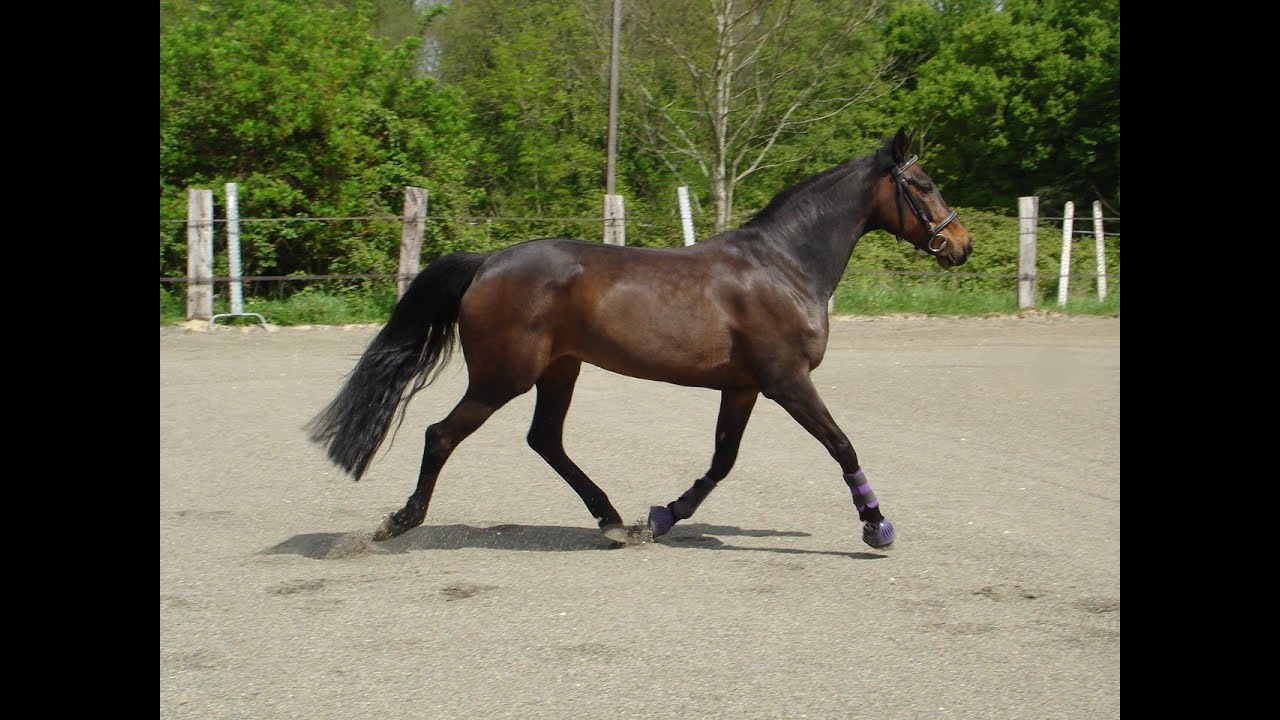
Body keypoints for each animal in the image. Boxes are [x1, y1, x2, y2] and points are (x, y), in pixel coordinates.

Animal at [308, 129, 972, 549]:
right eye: (925, 183)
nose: (961, 246)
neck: (784, 265)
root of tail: (488, 262)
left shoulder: (744, 387)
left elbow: (722, 461)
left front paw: (664, 517)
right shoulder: (787, 381)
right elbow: (842, 446)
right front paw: (877, 526)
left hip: (559, 370)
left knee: (545, 440)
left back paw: (613, 521)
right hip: (503, 378)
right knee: (441, 435)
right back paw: (400, 521)